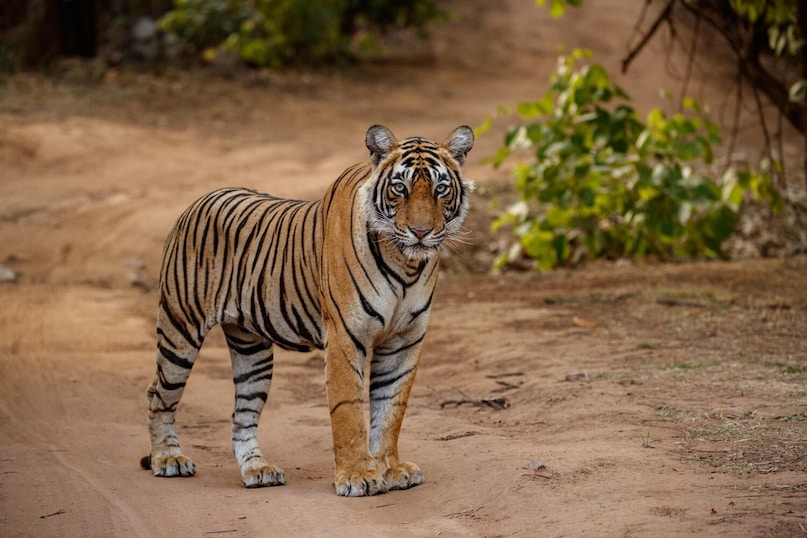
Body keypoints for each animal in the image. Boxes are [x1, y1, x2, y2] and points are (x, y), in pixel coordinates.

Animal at [142, 124, 474, 496]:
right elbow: (349, 410)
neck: (406, 265)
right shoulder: (346, 337)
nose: (420, 232)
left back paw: (258, 469)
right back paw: (168, 459)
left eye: (440, 189)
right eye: (399, 188)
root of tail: (198, 201)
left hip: (252, 351)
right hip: (179, 329)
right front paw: (358, 476)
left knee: (242, 415)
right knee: (158, 395)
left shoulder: (404, 341)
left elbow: (391, 408)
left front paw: (390, 468)